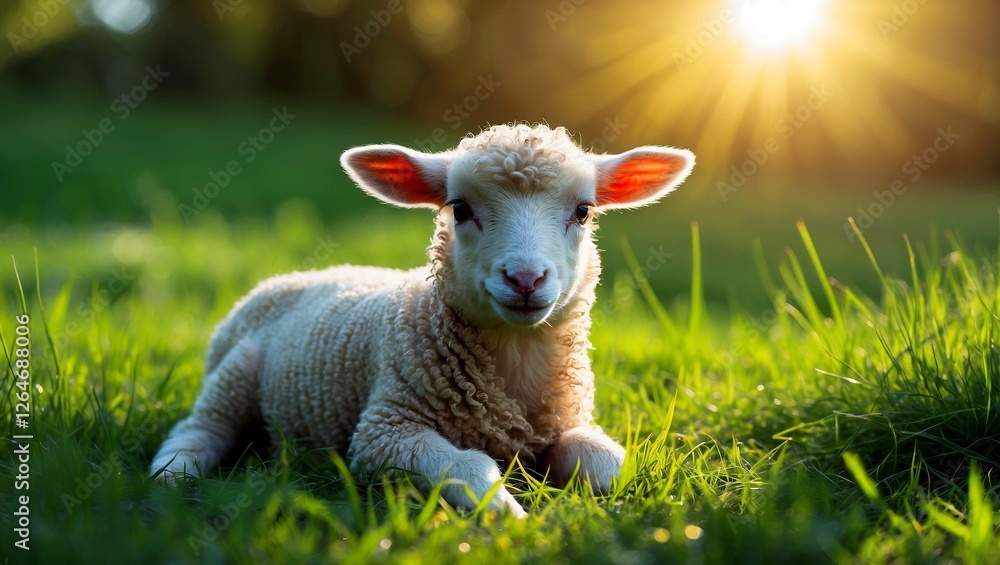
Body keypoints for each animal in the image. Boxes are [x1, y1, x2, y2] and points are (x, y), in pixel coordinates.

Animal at [151, 123, 694, 517]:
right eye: (460, 209)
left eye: (583, 212)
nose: (525, 278)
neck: (514, 356)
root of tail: (290, 276)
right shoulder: (384, 431)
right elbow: (465, 465)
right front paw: (504, 511)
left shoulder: (564, 423)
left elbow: (608, 463)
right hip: (233, 375)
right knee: (199, 427)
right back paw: (172, 474)